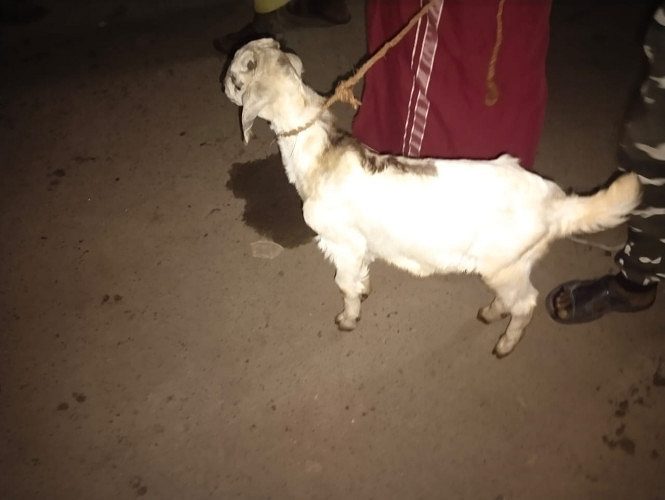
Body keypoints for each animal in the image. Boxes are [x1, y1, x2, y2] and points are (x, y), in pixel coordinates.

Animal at [223, 38, 641, 357]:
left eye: (235, 77)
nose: (223, 85)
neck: (320, 151)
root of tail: (556, 203)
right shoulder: (361, 244)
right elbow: (361, 275)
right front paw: (364, 289)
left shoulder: (340, 242)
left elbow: (344, 284)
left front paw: (348, 318)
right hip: (513, 265)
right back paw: (492, 313)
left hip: (504, 266)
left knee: (525, 303)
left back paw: (505, 343)